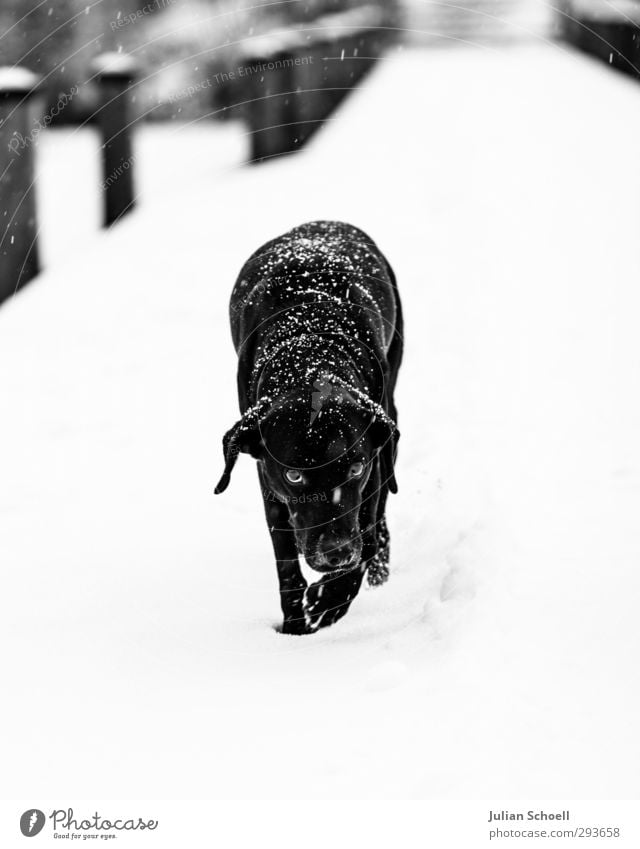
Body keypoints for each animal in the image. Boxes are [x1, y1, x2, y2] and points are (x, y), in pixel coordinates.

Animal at [218, 222, 402, 632]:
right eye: (294, 476)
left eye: (355, 467)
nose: (336, 554)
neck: (309, 354)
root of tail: (320, 224)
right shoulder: (269, 483)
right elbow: (286, 564)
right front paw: (293, 630)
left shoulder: (373, 466)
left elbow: (366, 536)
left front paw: (330, 600)